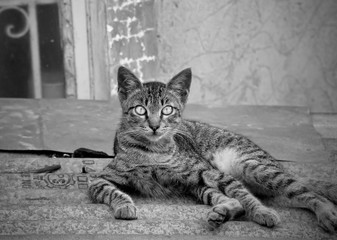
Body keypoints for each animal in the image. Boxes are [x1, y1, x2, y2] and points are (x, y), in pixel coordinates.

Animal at [88, 66, 336, 232]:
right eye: (140, 109)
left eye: (167, 109)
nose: (155, 125)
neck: (153, 151)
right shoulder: (100, 179)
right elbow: (111, 191)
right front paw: (124, 205)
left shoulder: (208, 171)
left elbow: (245, 195)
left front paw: (261, 211)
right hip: (197, 186)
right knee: (233, 201)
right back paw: (222, 213)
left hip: (249, 167)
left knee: (304, 191)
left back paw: (326, 212)